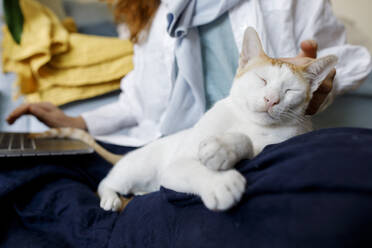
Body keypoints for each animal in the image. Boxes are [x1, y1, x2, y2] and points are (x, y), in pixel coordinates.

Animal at [33, 27, 338, 211]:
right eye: (261, 80)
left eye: (289, 91)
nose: (271, 100)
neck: (249, 125)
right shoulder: (177, 166)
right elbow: (194, 168)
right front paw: (220, 182)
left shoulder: (274, 142)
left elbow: (249, 144)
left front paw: (224, 148)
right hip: (136, 171)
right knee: (105, 183)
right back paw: (110, 198)